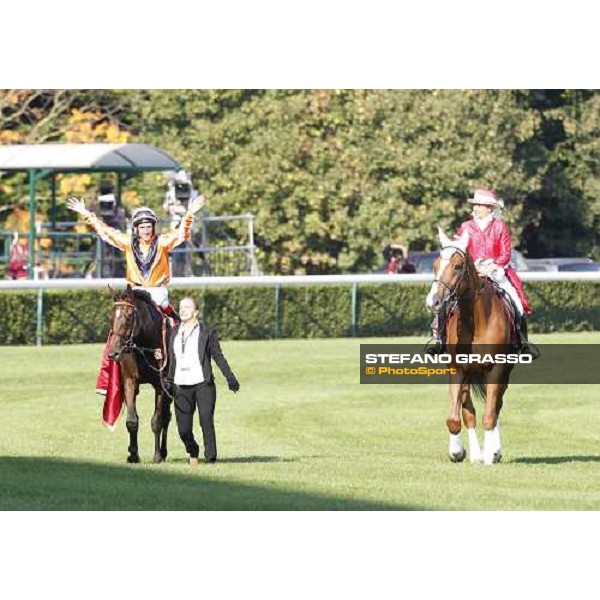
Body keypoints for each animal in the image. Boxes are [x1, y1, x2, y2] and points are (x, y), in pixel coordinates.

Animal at [108, 286, 171, 464]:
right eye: (110, 316)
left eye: (129, 316)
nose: (113, 353)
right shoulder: (129, 381)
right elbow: (132, 421)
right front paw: (133, 454)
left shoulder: (161, 385)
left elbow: (157, 421)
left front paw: (157, 455)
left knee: (167, 417)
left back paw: (163, 452)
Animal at [424, 227, 516, 466]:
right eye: (435, 265)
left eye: (457, 266)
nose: (433, 301)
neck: (476, 320)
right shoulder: (457, 369)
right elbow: (456, 418)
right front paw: (458, 451)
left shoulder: (496, 370)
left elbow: (491, 414)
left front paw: (491, 454)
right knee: (470, 411)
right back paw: (476, 453)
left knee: (496, 407)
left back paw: (493, 450)